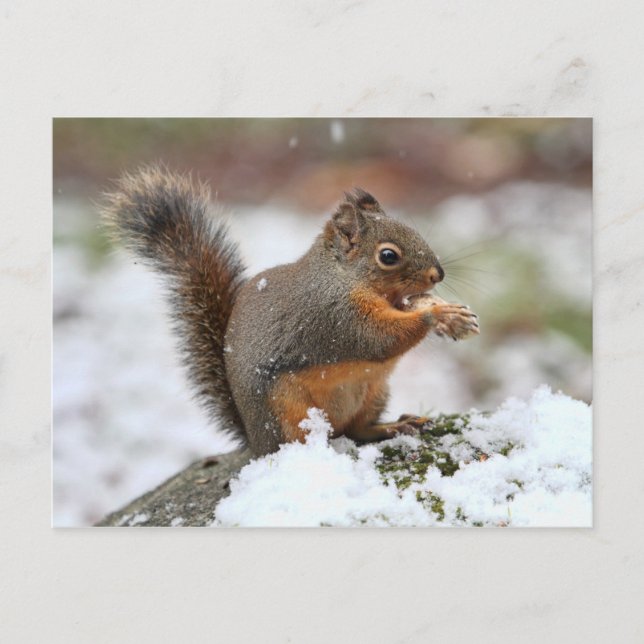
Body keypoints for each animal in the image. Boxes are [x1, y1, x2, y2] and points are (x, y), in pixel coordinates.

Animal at [102, 166, 479, 457]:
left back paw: (393, 426)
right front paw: (438, 315)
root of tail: (256, 444)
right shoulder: (335, 314)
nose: (438, 275)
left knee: (357, 430)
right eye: (388, 256)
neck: (342, 276)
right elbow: (377, 339)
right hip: (288, 411)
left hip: (373, 392)